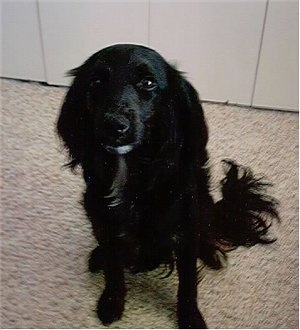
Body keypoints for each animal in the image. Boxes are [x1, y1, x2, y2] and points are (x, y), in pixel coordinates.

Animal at [57, 43, 280, 328]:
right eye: (96, 82)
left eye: (148, 83)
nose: (114, 125)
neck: (129, 171)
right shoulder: (102, 219)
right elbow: (114, 270)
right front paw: (111, 302)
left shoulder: (184, 231)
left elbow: (188, 283)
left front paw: (190, 317)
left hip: (202, 202)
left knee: (207, 230)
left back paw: (210, 253)